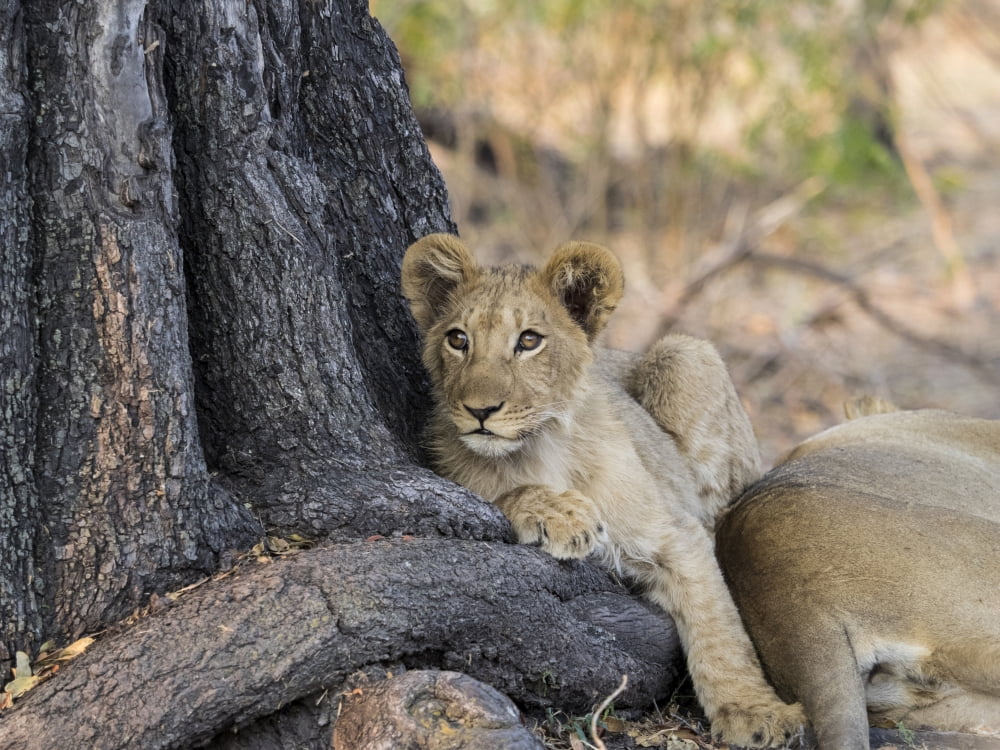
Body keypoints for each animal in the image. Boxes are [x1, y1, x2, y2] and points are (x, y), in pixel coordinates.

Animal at [401, 233, 806, 747]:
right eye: (458, 339)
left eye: (529, 340)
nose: (480, 411)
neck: (539, 447)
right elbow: (501, 492)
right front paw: (562, 516)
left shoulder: (675, 533)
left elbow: (719, 627)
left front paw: (755, 712)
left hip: (685, 354)